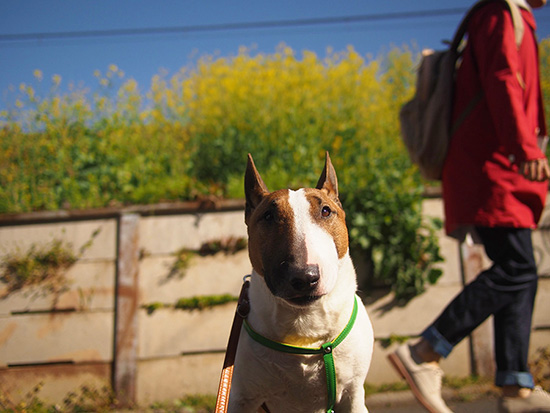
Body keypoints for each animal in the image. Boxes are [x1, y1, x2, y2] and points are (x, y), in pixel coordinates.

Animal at [229, 152, 376, 412]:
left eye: (326, 211)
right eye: (268, 216)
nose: (304, 277)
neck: (304, 323)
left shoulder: (353, 394)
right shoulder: (242, 398)